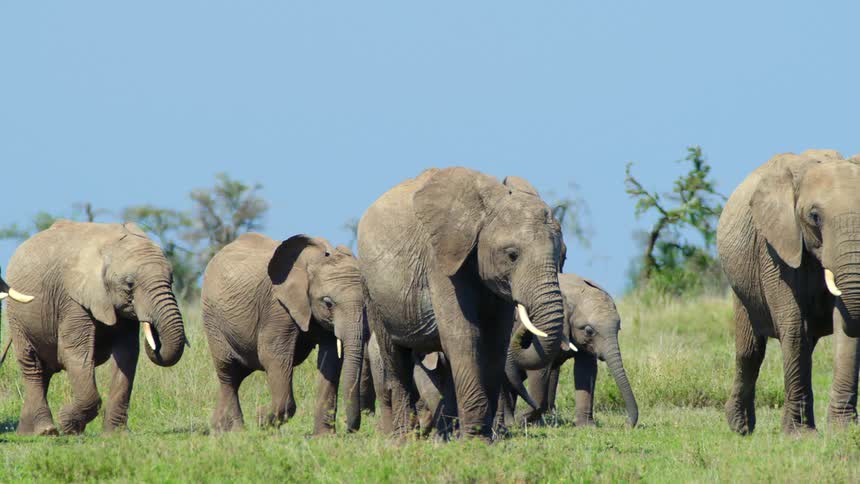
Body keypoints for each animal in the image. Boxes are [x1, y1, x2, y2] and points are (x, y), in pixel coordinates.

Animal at [6, 220, 187, 435]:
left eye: (172, 280)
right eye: (129, 284)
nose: (152, 329)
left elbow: (127, 355)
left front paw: (116, 434)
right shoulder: (72, 299)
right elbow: (75, 352)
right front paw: (68, 424)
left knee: (44, 371)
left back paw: (26, 432)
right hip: (16, 314)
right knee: (32, 365)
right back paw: (46, 431)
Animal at [201, 233, 366, 435]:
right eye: (328, 303)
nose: (349, 429)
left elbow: (331, 360)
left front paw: (323, 437)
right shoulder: (277, 307)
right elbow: (273, 355)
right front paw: (261, 419)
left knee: (239, 373)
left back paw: (219, 427)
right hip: (212, 318)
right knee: (228, 371)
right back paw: (234, 431)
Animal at [358, 167, 566, 441]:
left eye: (563, 256)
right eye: (512, 255)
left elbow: (494, 342)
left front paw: (485, 437)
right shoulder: (440, 261)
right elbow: (463, 336)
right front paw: (476, 440)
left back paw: (444, 437)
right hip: (373, 292)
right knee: (395, 358)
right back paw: (403, 440)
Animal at [500, 273, 638, 429]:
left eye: (618, 329)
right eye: (589, 330)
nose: (626, 424)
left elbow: (586, 370)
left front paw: (586, 427)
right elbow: (539, 368)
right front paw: (522, 421)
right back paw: (510, 422)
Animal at [718, 149, 860, 434]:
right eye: (815, 216)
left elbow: (845, 327)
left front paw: (844, 431)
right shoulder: (774, 248)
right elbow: (794, 326)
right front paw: (800, 435)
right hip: (742, 289)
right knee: (751, 351)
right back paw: (740, 428)